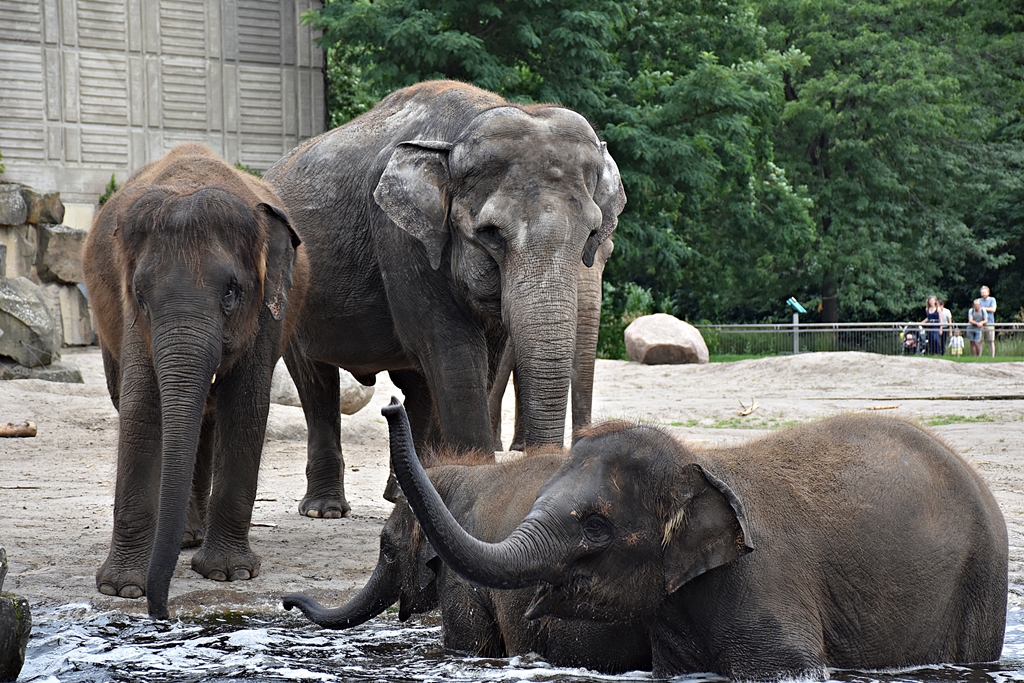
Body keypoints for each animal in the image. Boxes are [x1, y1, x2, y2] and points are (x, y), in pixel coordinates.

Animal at [83, 143, 308, 619]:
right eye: (141, 295)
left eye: (231, 293)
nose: (161, 612)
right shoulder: (133, 320)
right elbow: (141, 409)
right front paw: (120, 589)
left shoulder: (266, 312)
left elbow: (245, 408)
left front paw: (228, 575)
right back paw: (185, 539)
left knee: (209, 415)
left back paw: (193, 540)